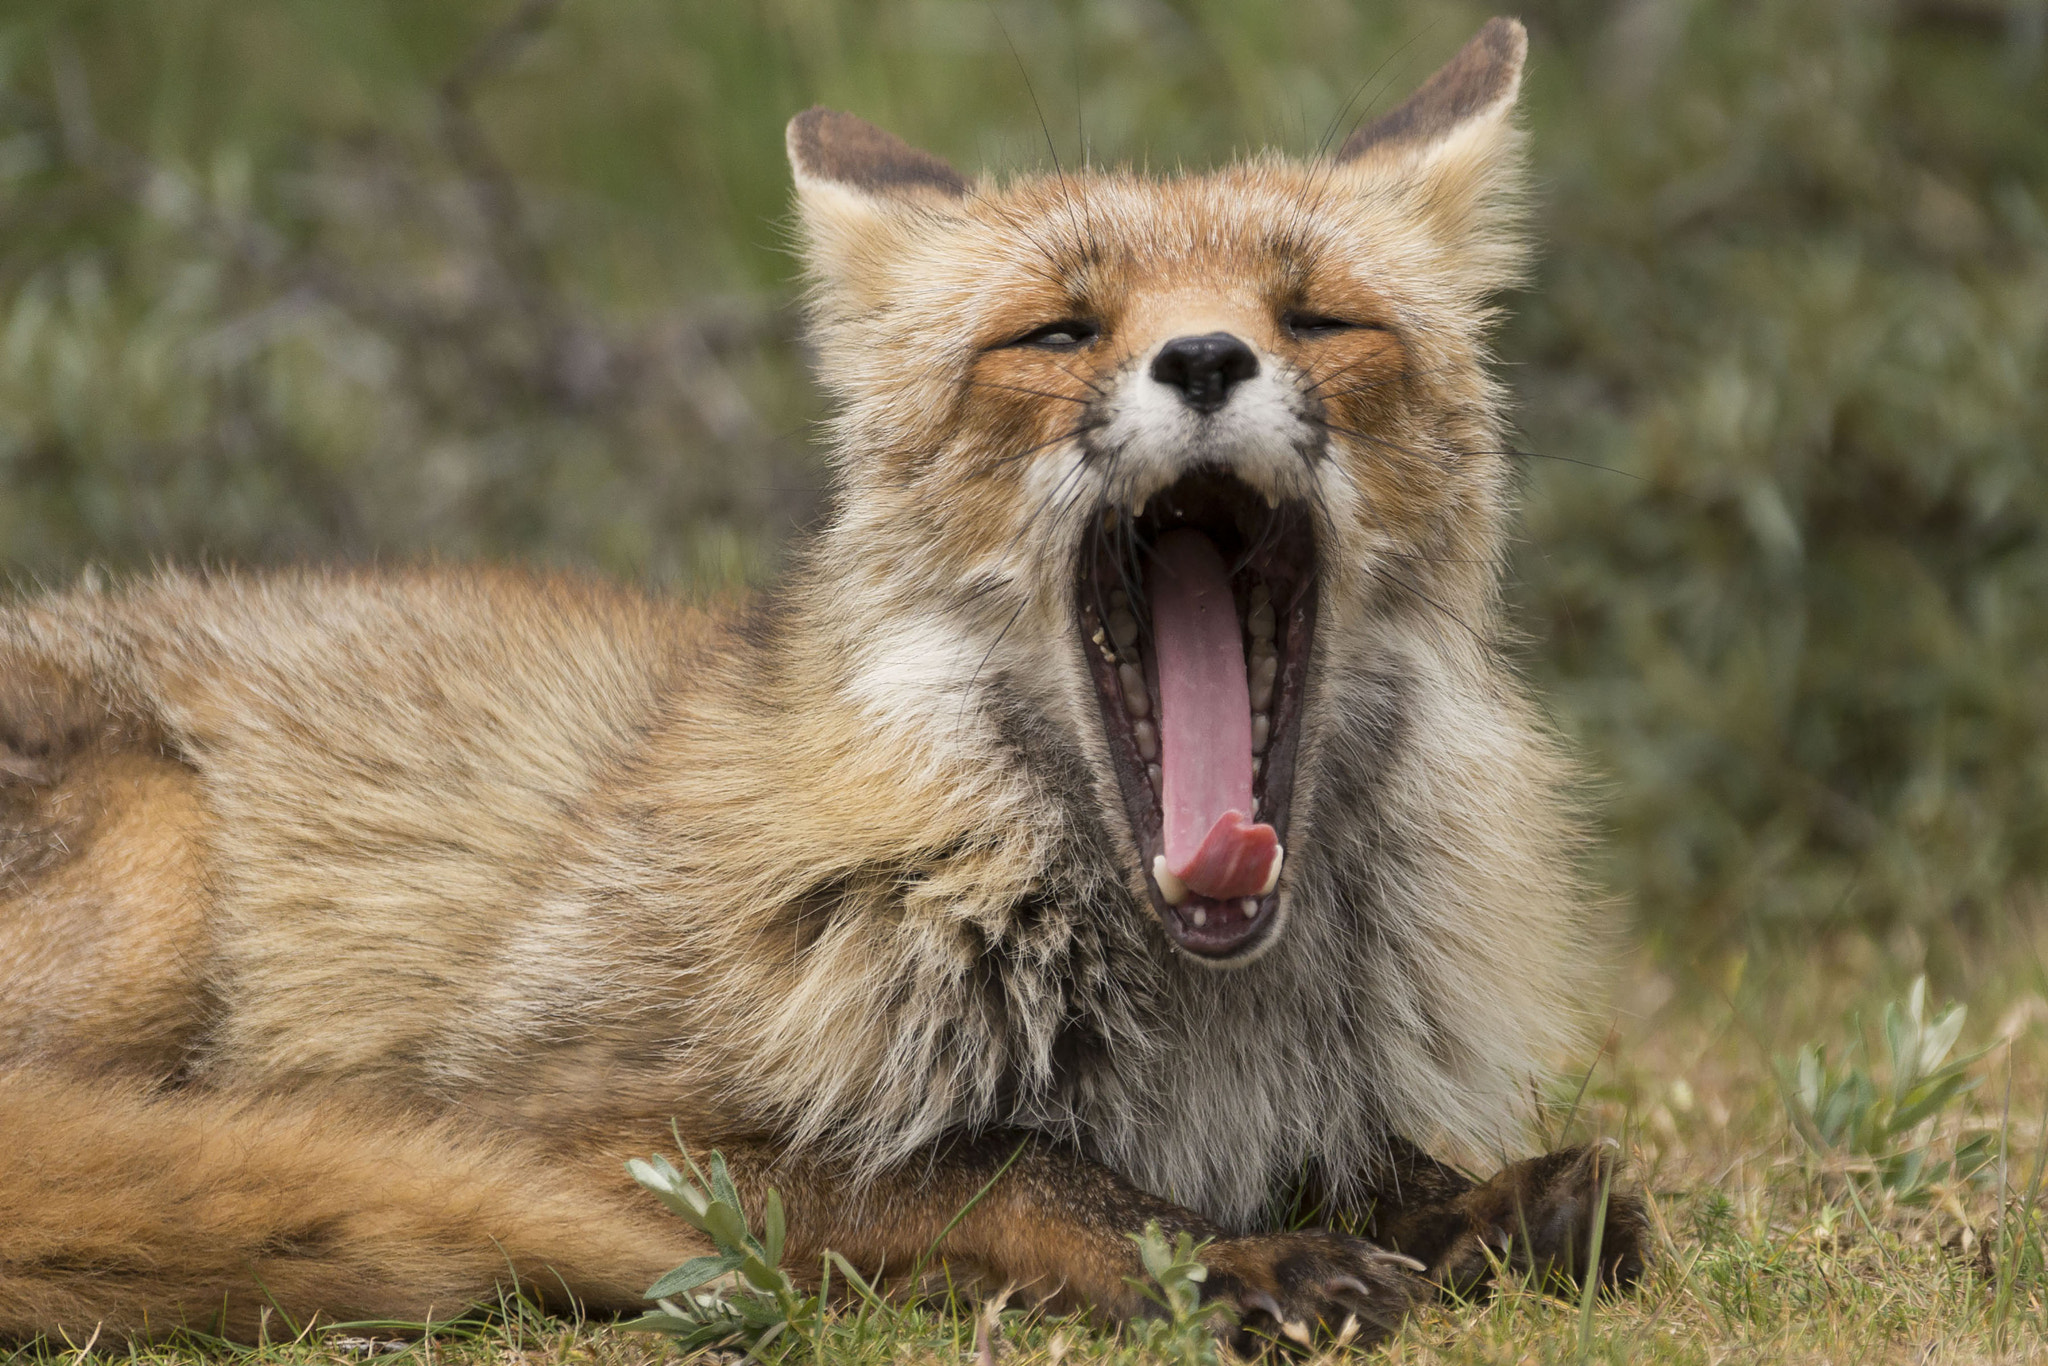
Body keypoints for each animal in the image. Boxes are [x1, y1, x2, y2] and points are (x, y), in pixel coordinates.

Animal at [0, 16, 1645, 1353]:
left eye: (1316, 318)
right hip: (159, 854)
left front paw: (1476, 1203)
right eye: (1058, 331)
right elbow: (993, 1166)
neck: (1201, 1008)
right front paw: (1232, 1260)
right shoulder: (570, 1111)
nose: (1202, 356)